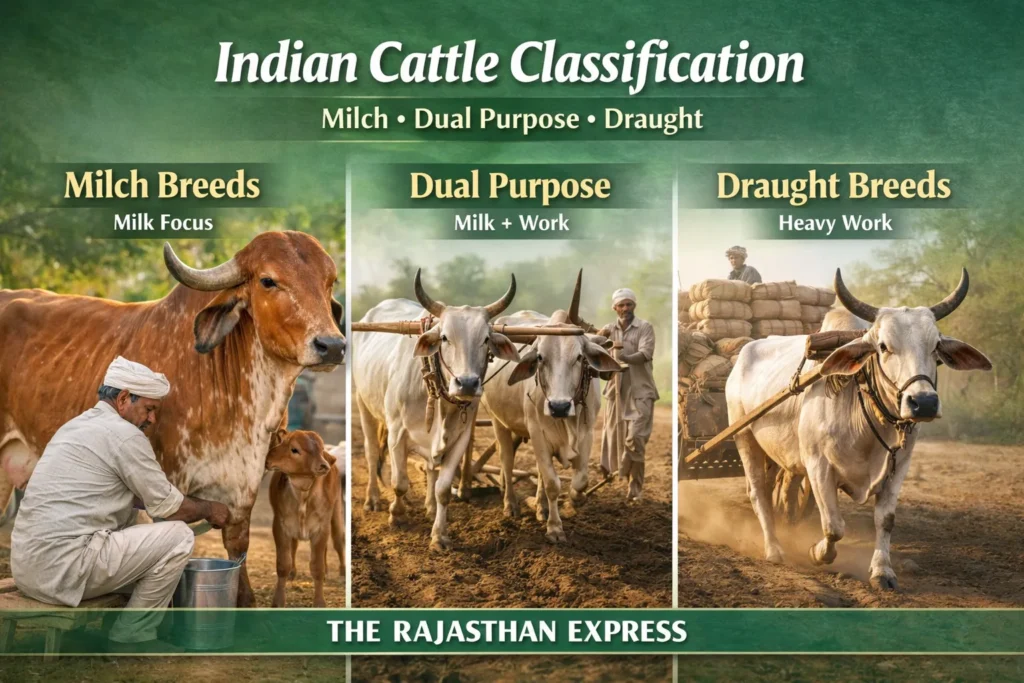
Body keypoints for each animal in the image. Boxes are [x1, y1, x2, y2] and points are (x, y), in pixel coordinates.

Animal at [0, 231, 345, 605]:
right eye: (268, 280)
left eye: (330, 282)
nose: (332, 345)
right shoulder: (167, 482)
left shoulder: (244, 489)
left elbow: (238, 557)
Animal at [353, 270, 519, 551]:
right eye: (445, 337)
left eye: (486, 339)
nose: (467, 383)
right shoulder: (396, 433)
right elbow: (399, 483)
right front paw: (396, 515)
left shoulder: (460, 438)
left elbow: (443, 488)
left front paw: (439, 535)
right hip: (363, 403)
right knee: (372, 451)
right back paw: (373, 500)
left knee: (430, 467)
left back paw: (429, 507)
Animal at [481, 295, 622, 542]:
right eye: (540, 357)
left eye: (579, 357)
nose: (559, 406)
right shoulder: (537, 433)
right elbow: (552, 484)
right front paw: (555, 528)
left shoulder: (587, 434)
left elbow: (581, 479)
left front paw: (576, 498)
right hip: (498, 422)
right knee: (506, 462)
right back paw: (511, 505)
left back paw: (541, 507)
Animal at [727, 268, 991, 590]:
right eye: (883, 346)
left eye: (935, 347)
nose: (924, 403)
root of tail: (744, 353)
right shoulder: (818, 466)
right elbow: (834, 526)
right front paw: (817, 552)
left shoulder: (899, 466)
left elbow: (885, 520)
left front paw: (882, 571)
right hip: (744, 437)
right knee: (758, 492)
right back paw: (774, 549)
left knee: (783, 486)